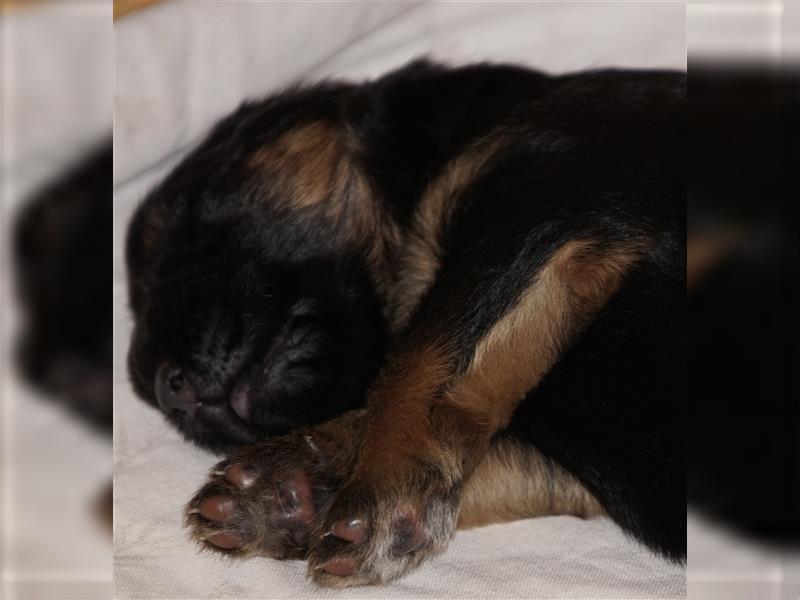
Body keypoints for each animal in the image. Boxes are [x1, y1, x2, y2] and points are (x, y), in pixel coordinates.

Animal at [128, 61, 684, 584]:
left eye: (189, 230)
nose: (166, 391)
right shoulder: (566, 470)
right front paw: (294, 483)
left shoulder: (552, 205)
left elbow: (418, 358)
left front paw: (376, 479)